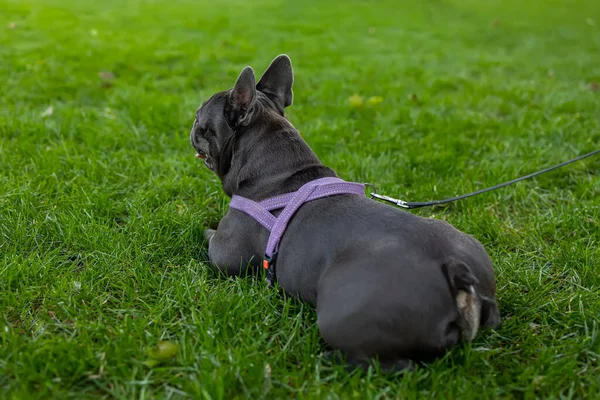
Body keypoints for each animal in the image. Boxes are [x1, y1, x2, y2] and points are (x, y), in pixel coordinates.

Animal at [190, 54, 500, 372]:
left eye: (199, 120)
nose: (192, 123)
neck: (280, 169)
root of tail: (455, 269)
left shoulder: (225, 254)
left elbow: (209, 236)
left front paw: (204, 226)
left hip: (344, 313)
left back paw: (329, 360)